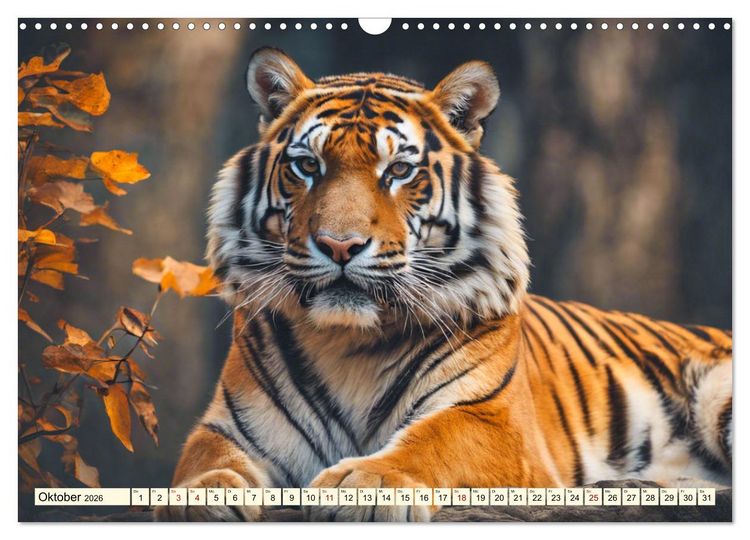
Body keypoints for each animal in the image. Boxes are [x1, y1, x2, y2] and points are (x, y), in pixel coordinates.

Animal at [155, 48, 733, 522]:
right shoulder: (227, 425)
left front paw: (366, 481)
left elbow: (436, 438)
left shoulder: (493, 419)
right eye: (306, 165)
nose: (339, 245)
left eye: (398, 171)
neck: (348, 344)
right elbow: (204, 457)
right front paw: (201, 496)